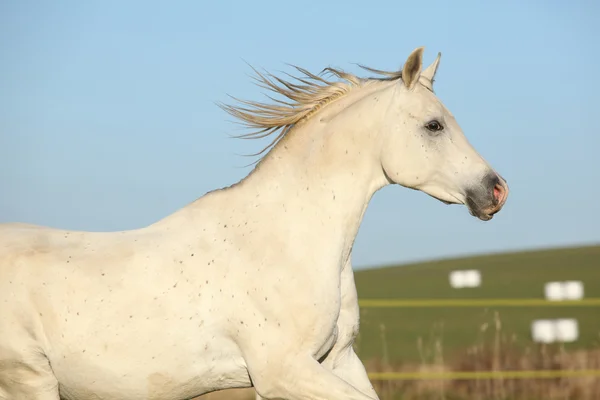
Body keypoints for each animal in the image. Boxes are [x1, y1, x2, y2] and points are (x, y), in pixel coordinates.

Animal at [0, 47, 508, 400]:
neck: (287, 240)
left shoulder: (338, 361)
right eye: (433, 125)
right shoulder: (283, 371)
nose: (496, 190)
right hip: (28, 381)